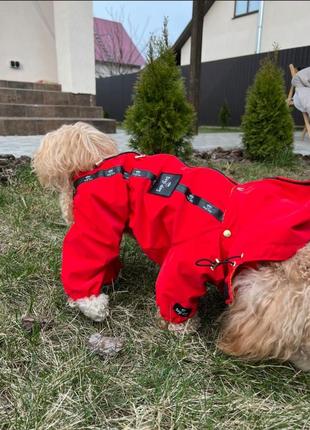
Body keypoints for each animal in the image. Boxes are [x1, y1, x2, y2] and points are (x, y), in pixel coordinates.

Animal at [32, 122, 310, 372]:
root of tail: (94, 159)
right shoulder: (185, 263)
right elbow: (175, 294)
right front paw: (181, 327)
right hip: (96, 222)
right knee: (83, 255)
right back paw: (90, 303)